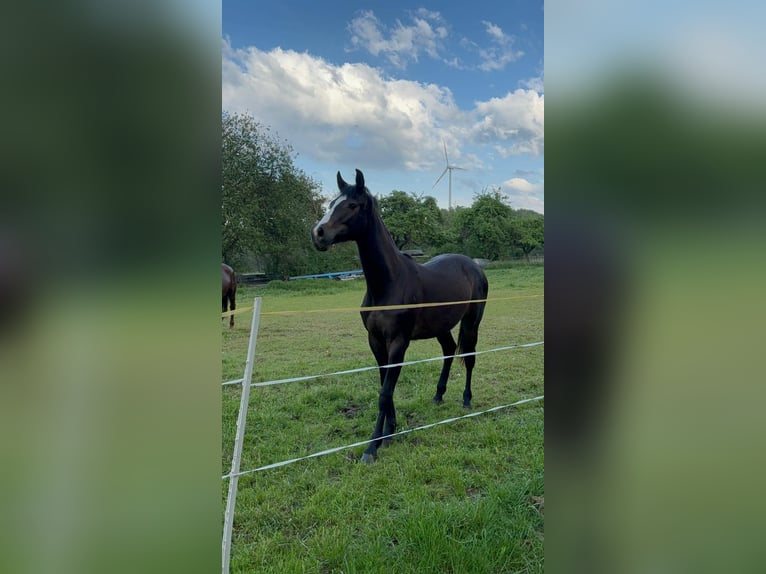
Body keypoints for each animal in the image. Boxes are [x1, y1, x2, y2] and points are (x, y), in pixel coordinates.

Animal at [311, 169, 489, 463]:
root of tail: (473, 265)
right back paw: (438, 395)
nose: (318, 233)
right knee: (449, 350)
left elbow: (385, 392)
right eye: (330, 203)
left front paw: (371, 448)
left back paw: (466, 399)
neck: (388, 283)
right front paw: (389, 433)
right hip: (441, 326)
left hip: (472, 322)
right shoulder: (375, 341)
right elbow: (385, 383)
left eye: (352, 205)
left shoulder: (398, 342)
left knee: (469, 356)